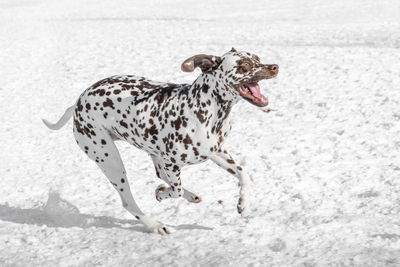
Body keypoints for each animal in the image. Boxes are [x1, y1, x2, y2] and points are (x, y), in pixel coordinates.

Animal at [42, 48, 276, 234]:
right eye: (244, 65)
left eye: (257, 58)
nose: (274, 66)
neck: (205, 109)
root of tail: (78, 102)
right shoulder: (172, 162)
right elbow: (175, 190)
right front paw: (162, 194)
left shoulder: (215, 152)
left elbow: (244, 174)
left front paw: (243, 204)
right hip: (111, 161)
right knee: (129, 201)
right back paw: (155, 225)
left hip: (148, 152)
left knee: (160, 175)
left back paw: (191, 196)